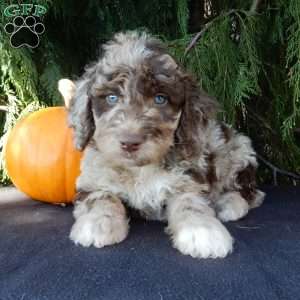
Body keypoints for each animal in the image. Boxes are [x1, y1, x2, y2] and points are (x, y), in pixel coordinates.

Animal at [59, 31, 264, 258]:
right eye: (112, 97)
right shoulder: (93, 177)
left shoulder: (188, 177)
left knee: (250, 193)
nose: (130, 143)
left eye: (160, 99)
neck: (140, 169)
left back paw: (229, 204)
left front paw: (203, 231)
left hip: (236, 149)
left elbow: (191, 202)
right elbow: (101, 197)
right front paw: (97, 224)